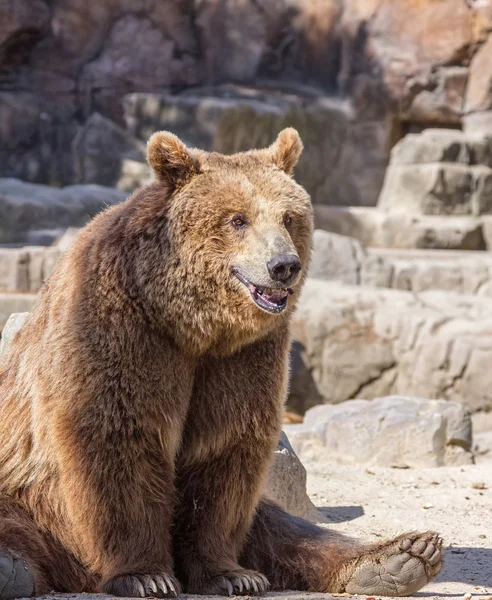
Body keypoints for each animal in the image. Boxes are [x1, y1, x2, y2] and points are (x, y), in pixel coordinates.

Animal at [0, 129, 442, 596]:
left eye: (289, 217)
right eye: (238, 219)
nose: (283, 265)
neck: (191, 325)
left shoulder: (242, 357)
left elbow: (225, 452)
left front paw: (230, 574)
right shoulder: (120, 330)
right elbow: (120, 438)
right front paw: (147, 575)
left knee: (281, 526)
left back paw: (402, 556)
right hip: (26, 492)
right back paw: (10, 567)